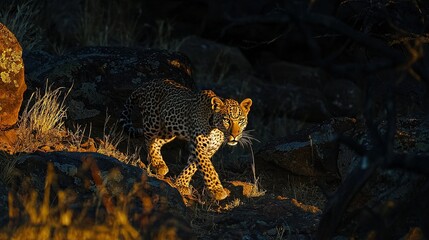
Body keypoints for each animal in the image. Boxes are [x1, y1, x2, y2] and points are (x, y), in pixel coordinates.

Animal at [118, 79, 252, 201]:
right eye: (227, 120)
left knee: (156, 142)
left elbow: (192, 166)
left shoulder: (208, 149)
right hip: (153, 122)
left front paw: (181, 184)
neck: (216, 128)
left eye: (241, 120)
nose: (235, 135)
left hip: (169, 130)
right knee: (149, 140)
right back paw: (156, 163)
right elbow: (208, 168)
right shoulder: (199, 146)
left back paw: (160, 164)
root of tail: (147, 83)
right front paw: (217, 190)